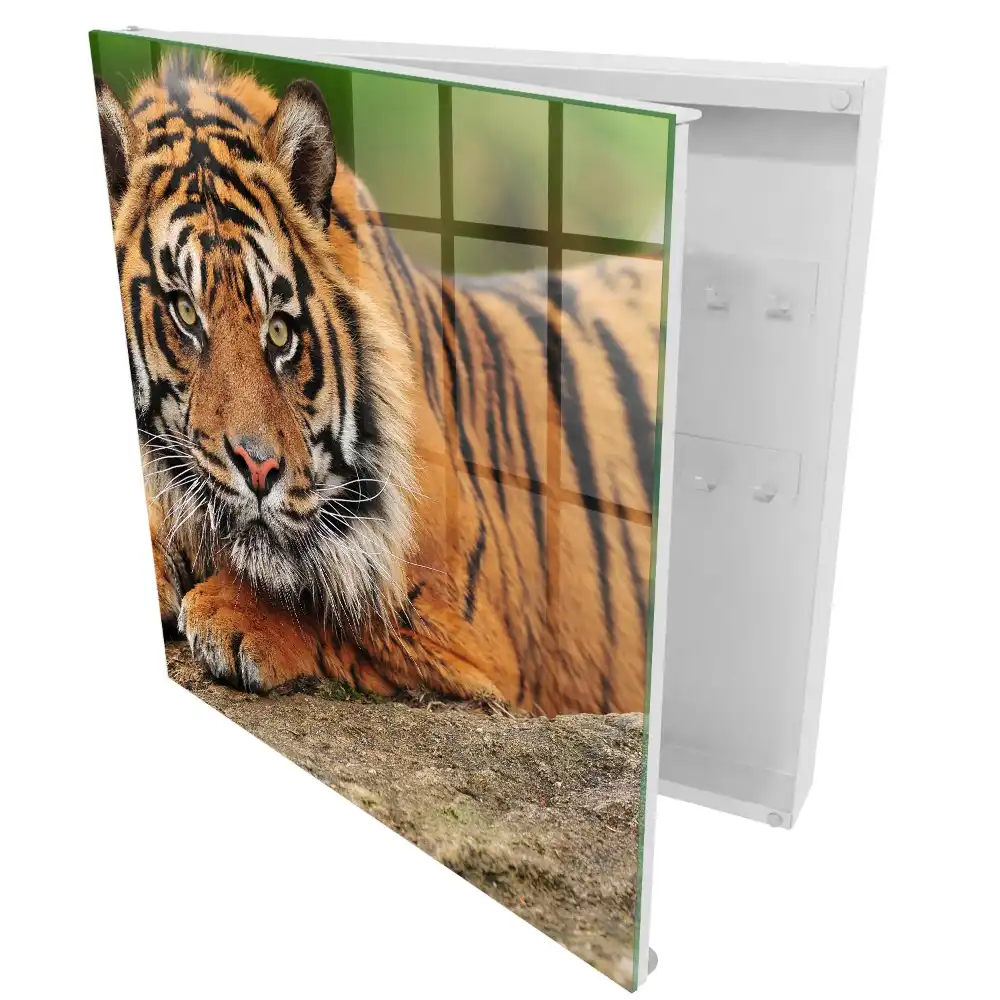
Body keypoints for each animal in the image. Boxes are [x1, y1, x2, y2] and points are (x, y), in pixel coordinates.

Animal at [94, 53, 665, 716]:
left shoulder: (466, 635)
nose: (259, 469)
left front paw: (233, 615)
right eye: (185, 312)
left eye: (281, 330)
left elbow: (337, 603)